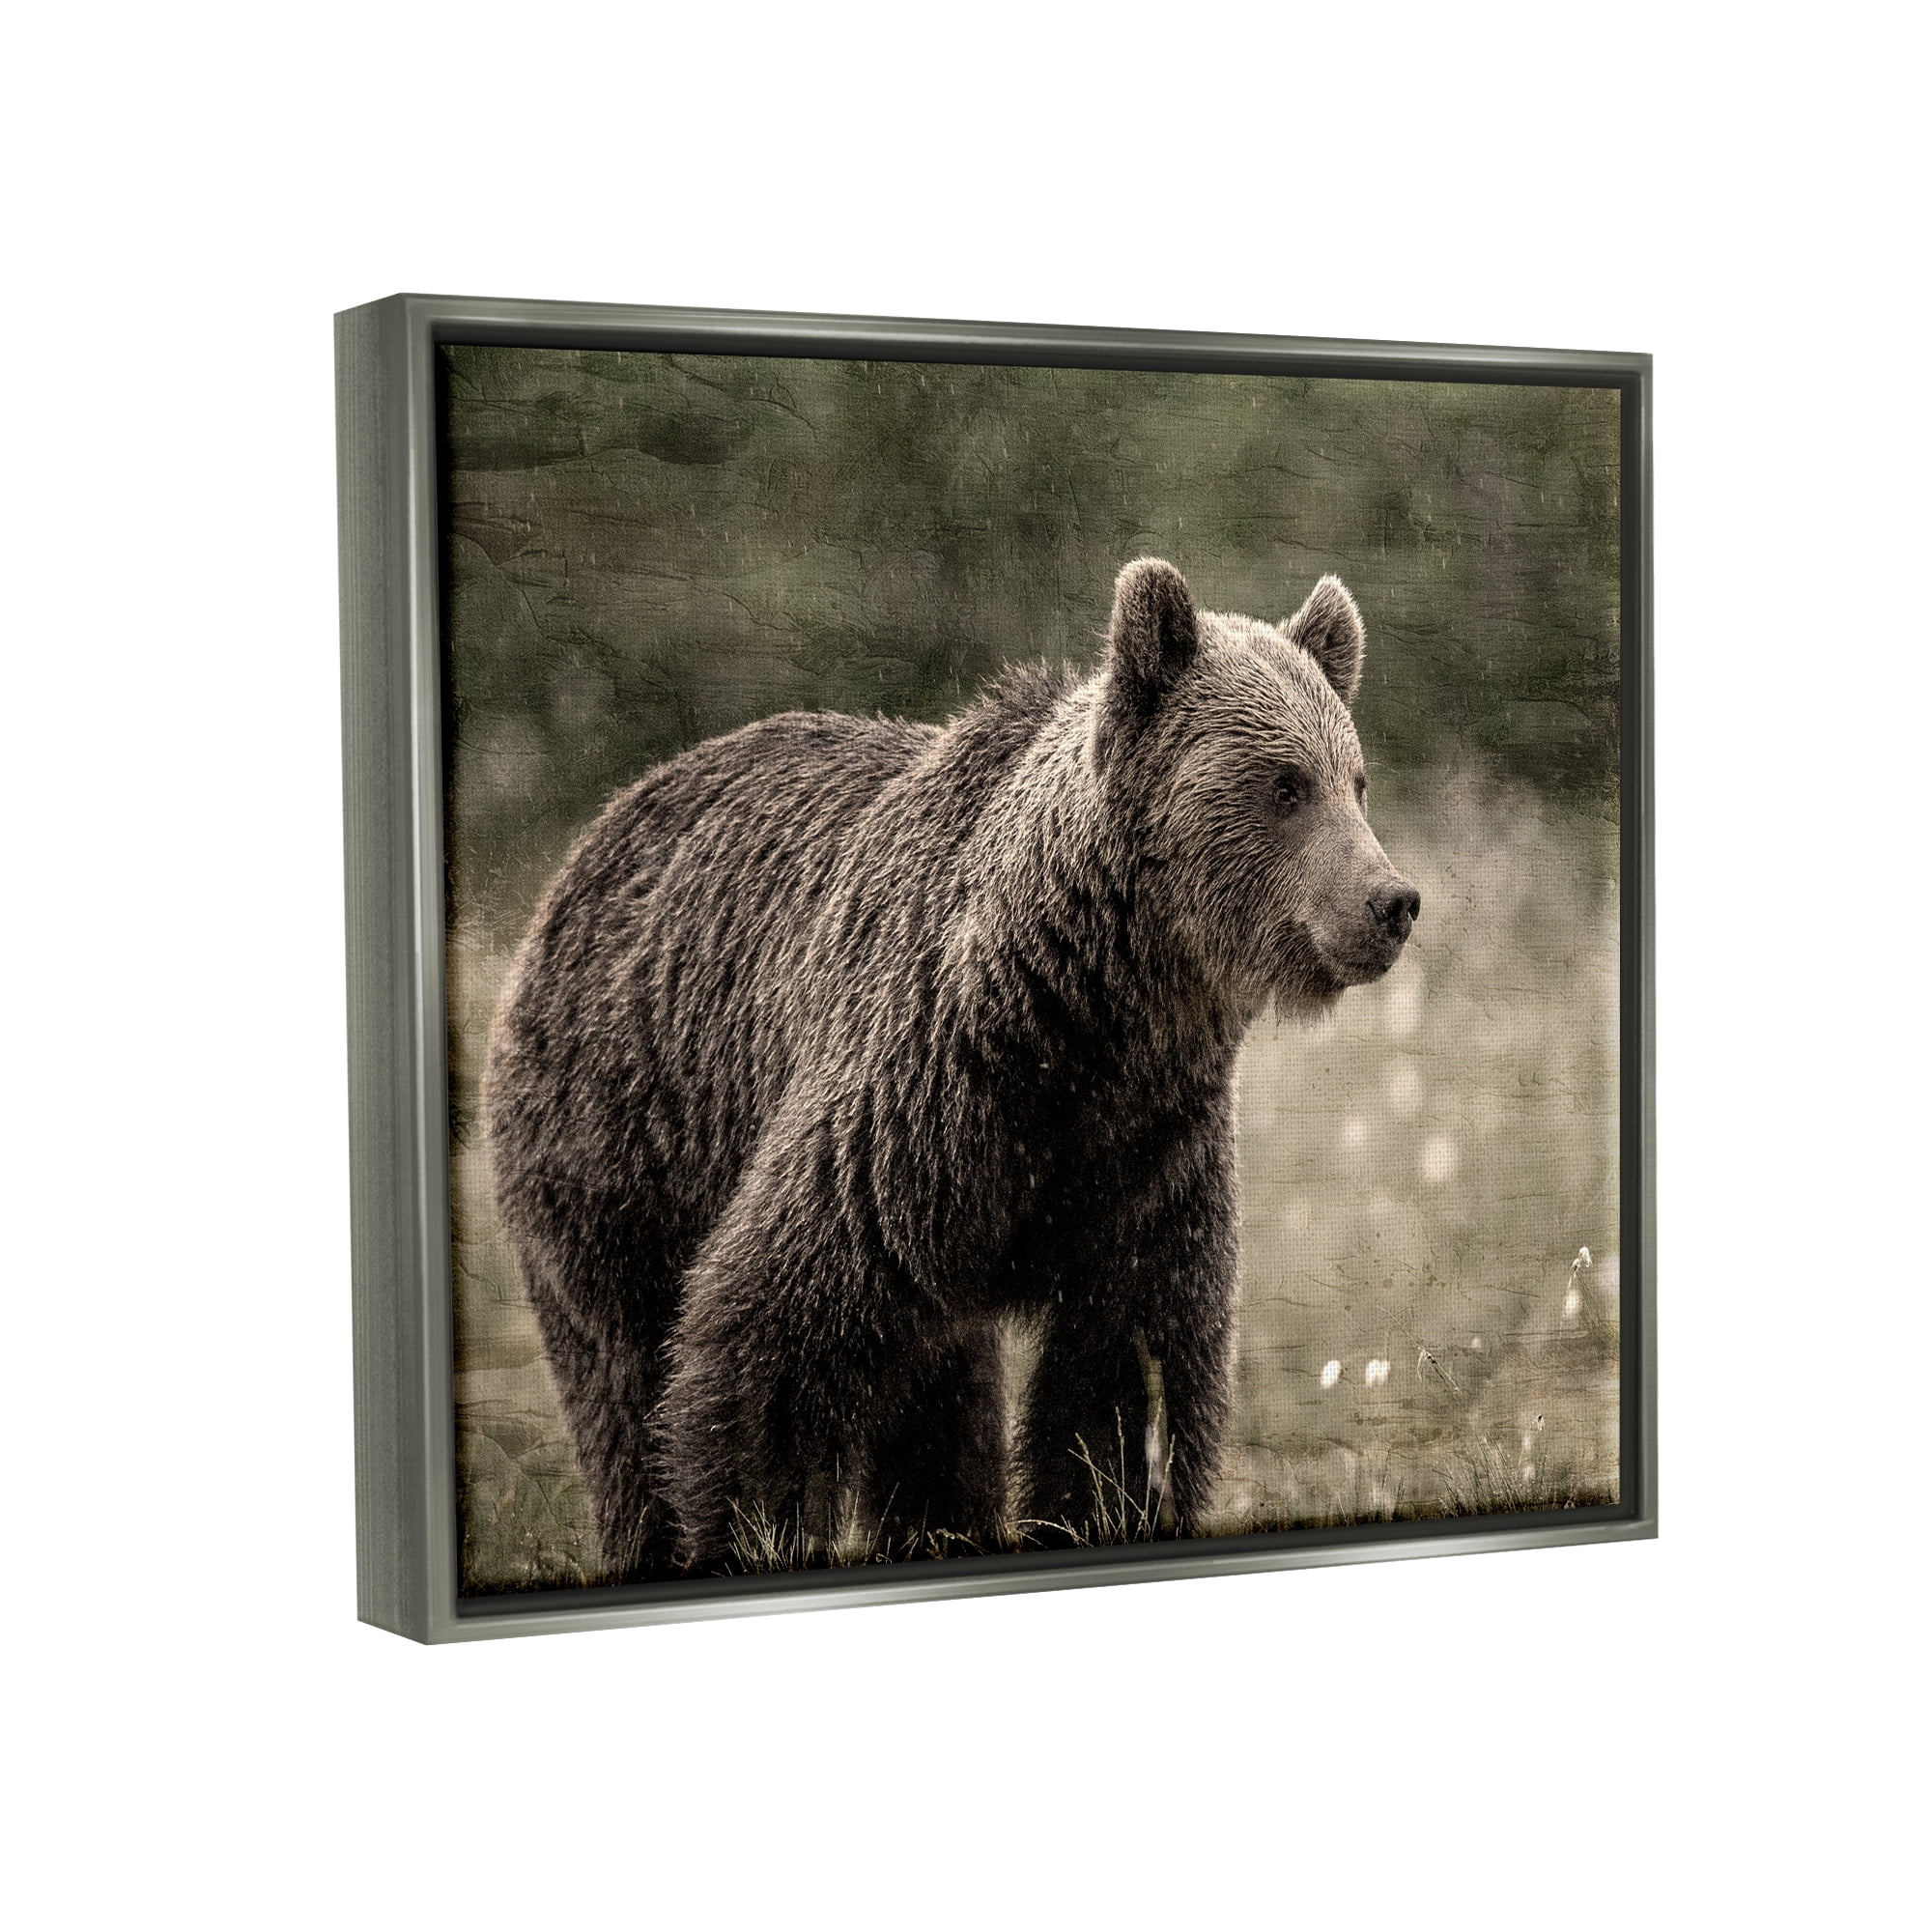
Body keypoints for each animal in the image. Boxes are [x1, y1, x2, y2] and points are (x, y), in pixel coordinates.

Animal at [483, 558, 1419, 1579]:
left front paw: (1104, 1504)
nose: (1391, 901)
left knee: (936, 1396)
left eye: (1356, 781)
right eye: (1284, 786)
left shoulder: (1148, 1152)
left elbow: (1126, 1375)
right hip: (623, 1139)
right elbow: (767, 1339)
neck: (1092, 1013)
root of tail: (592, 840)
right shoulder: (921, 1101)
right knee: (625, 1374)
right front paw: (758, 1529)